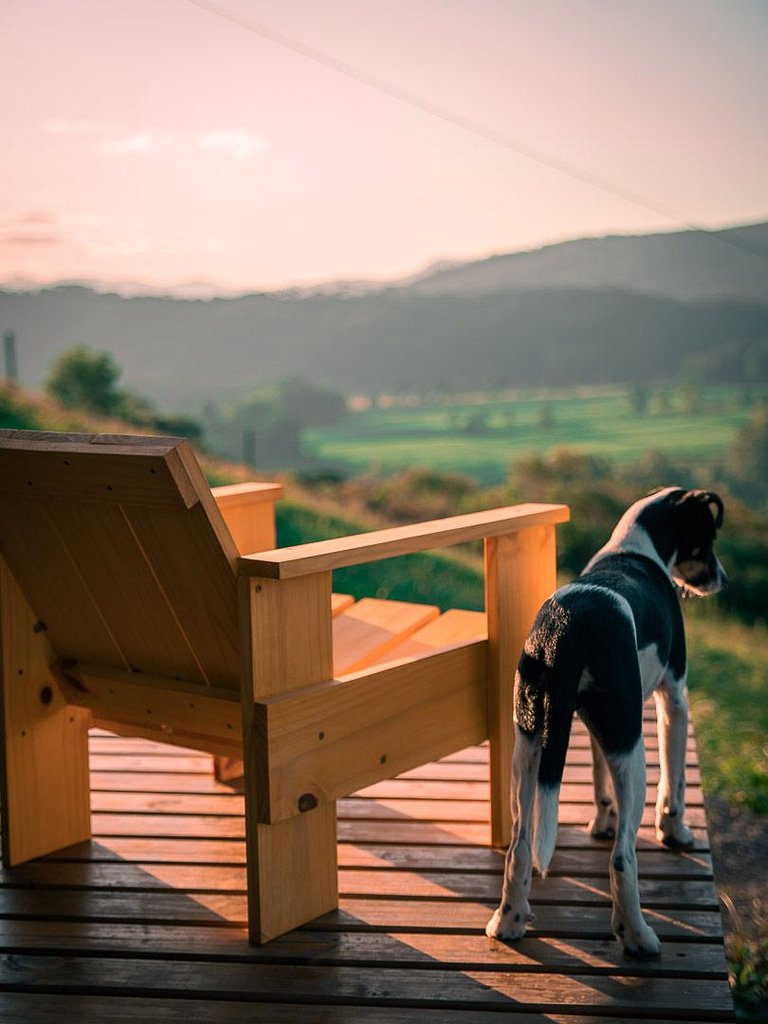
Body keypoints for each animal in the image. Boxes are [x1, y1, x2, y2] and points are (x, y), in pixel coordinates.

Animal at [487, 483, 729, 954]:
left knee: (520, 847)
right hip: (631, 747)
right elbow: (674, 785)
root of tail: (562, 630)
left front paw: (602, 821)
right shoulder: (674, 699)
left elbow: (599, 783)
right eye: (707, 538)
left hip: (529, 745)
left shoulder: (593, 728)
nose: (722, 580)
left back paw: (508, 921)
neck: (634, 548)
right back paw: (637, 936)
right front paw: (675, 832)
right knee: (622, 857)